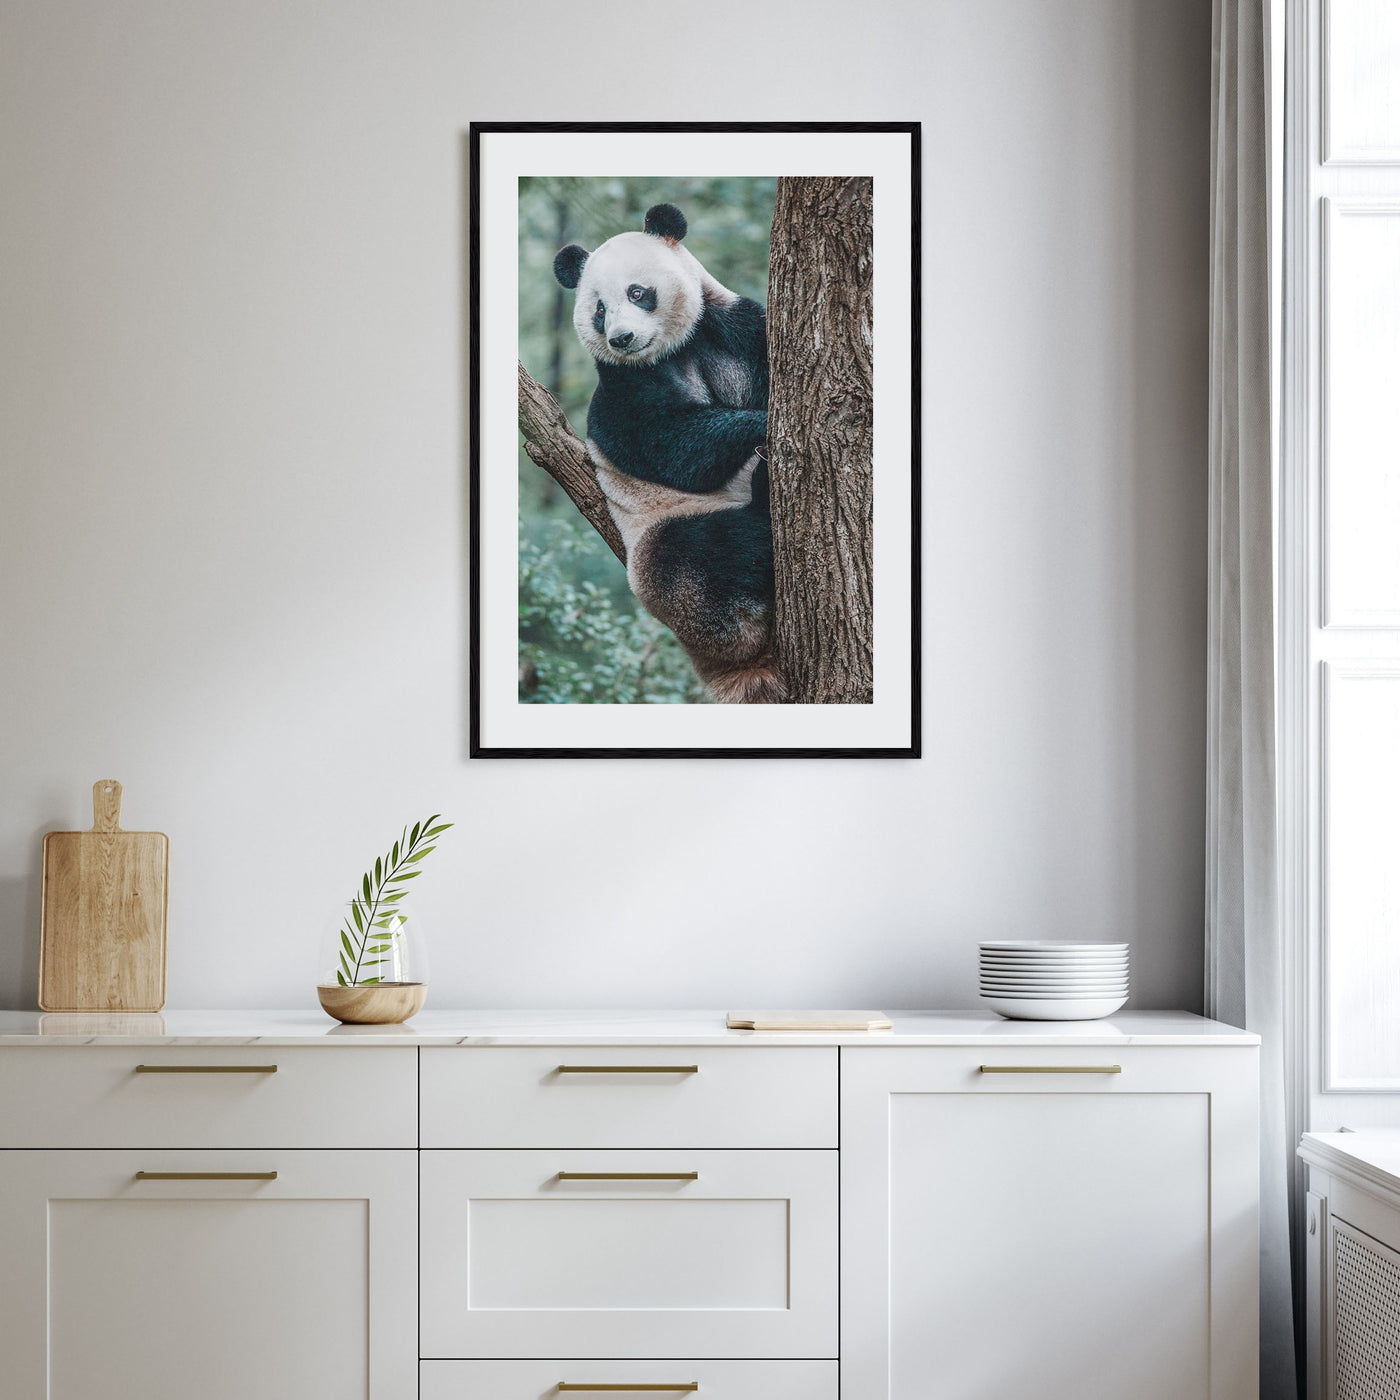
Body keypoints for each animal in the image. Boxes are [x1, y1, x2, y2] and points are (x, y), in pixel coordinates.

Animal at [552, 203, 785, 704]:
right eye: (599, 309)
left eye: (637, 292)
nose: (621, 338)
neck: (674, 349)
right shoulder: (621, 390)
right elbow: (674, 447)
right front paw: (761, 425)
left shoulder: (734, 329)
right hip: (662, 551)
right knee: (705, 556)